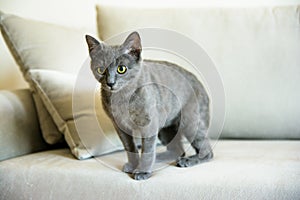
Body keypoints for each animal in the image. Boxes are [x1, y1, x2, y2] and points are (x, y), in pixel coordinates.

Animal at [85, 32, 214, 180]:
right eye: (101, 69)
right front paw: (133, 165)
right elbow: (130, 147)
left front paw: (142, 171)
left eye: (121, 69)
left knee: (207, 150)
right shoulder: (120, 126)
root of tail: (201, 84)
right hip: (165, 129)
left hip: (190, 122)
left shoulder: (149, 124)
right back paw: (160, 157)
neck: (122, 99)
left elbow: (147, 150)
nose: (110, 83)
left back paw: (188, 160)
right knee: (178, 150)